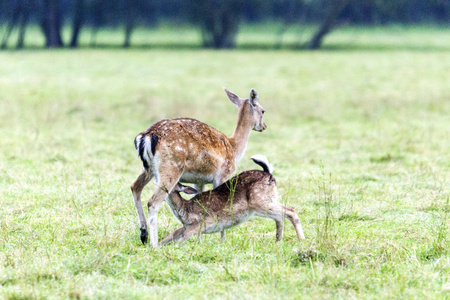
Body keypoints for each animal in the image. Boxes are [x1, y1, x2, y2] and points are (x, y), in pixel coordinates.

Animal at [130, 88, 266, 246]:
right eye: (263, 111)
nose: (264, 126)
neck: (234, 148)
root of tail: (145, 136)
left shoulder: (199, 180)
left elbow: (199, 199)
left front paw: (199, 238)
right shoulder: (223, 174)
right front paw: (222, 239)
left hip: (149, 169)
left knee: (135, 187)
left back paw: (143, 234)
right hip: (171, 168)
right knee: (153, 202)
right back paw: (154, 244)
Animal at [159, 155, 306, 246]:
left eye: (170, 180)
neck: (185, 209)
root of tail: (269, 174)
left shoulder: (209, 219)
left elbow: (186, 234)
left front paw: (175, 248)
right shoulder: (186, 225)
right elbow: (173, 233)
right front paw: (156, 247)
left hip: (260, 203)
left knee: (291, 211)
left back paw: (301, 240)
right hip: (267, 201)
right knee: (280, 217)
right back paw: (278, 241)